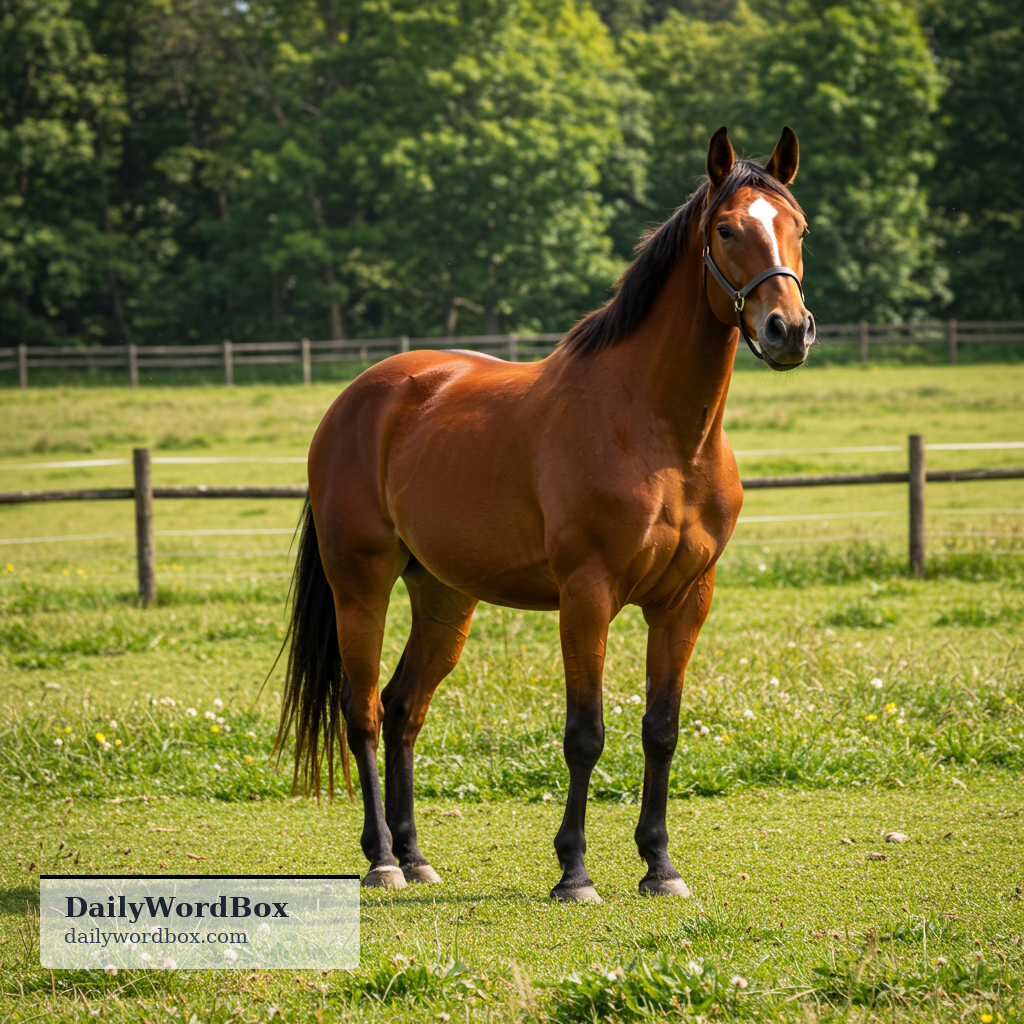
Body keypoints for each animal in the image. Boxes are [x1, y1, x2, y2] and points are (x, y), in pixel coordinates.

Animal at [275, 126, 814, 902]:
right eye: (727, 229)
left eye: (799, 227)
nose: (788, 330)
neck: (659, 433)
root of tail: (359, 398)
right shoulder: (586, 597)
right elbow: (584, 733)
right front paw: (574, 871)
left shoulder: (685, 600)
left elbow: (662, 729)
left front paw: (660, 865)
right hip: (361, 588)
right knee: (366, 712)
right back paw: (383, 860)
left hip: (444, 597)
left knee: (405, 709)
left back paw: (415, 854)